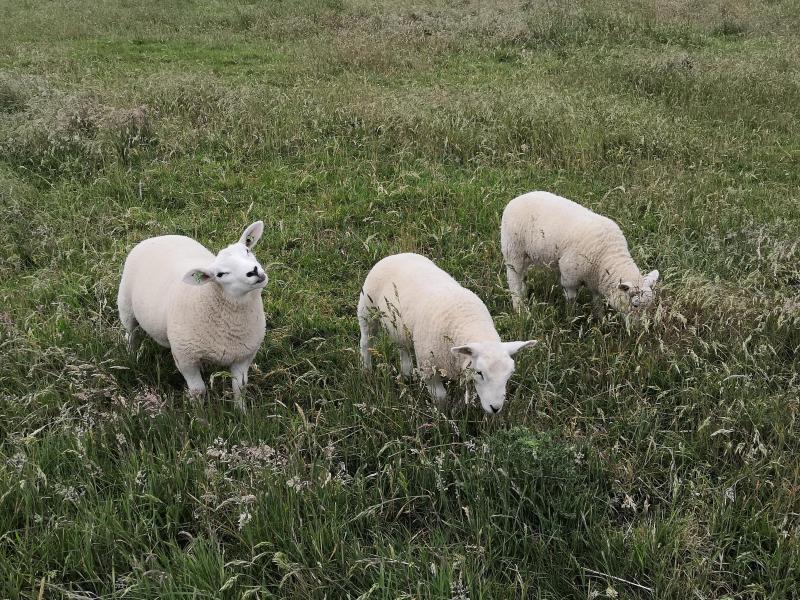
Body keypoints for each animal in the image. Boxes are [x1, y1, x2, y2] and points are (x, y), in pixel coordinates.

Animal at [118, 223, 268, 410]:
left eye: (247, 250)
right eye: (220, 274)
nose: (253, 271)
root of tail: (158, 237)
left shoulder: (244, 355)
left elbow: (239, 386)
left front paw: (241, 412)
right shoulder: (185, 358)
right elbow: (198, 390)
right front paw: (199, 414)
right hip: (126, 305)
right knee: (131, 333)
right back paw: (131, 354)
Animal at [358, 251, 536, 414]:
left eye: (509, 374)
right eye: (480, 373)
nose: (495, 408)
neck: (469, 322)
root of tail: (397, 255)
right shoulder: (428, 367)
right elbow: (441, 397)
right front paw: (442, 416)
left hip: (401, 328)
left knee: (403, 347)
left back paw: (406, 373)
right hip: (367, 311)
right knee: (366, 342)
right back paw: (367, 370)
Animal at [500, 192, 664, 314]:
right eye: (635, 305)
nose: (638, 330)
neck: (608, 256)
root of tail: (514, 200)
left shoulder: (595, 280)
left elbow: (597, 301)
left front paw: (600, 319)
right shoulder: (570, 278)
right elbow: (571, 299)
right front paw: (571, 316)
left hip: (526, 255)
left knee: (522, 277)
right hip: (513, 251)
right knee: (513, 279)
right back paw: (519, 308)